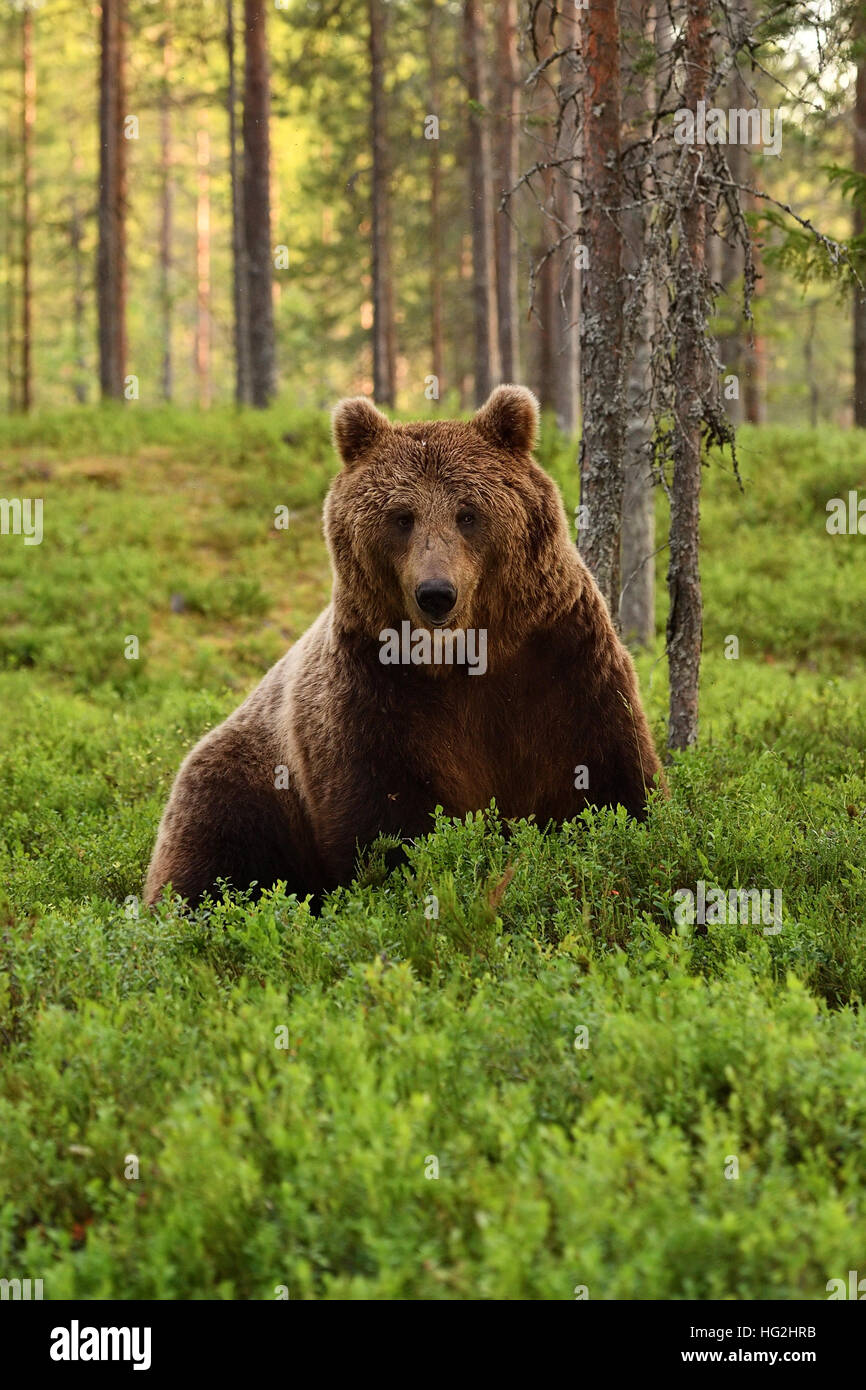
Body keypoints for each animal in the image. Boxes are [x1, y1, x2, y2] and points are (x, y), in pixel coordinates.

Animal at [144, 385, 663, 908]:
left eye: (468, 513)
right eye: (402, 518)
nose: (436, 593)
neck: (465, 653)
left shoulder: (562, 661)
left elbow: (610, 778)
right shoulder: (373, 693)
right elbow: (387, 822)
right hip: (246, 787)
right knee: (208, 857)